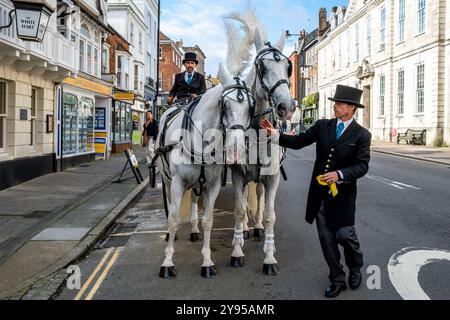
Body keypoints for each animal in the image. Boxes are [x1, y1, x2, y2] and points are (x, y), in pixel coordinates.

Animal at [156, 65, 255, 278]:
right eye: (224, 104)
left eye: (251, 107)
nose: (236, 151)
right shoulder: (177, 183)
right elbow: (174, 219)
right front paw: (167, 263)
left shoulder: (212, 184)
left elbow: (208, 221)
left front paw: (207, 262)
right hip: (167, 180)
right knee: (170, 206)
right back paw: (169, 234)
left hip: (196, 182)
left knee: (194, 200)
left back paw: (194, 229)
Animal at [229, 28, 296, 276]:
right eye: (262, 67)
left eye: (288, 67)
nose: (287, 107)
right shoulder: (238, 174)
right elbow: (239, 210)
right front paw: (237, 251)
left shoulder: (272, 176)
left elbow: (269, 215)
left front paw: (269, 257)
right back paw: (245, 230)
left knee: (257, 193)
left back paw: (256, 226)